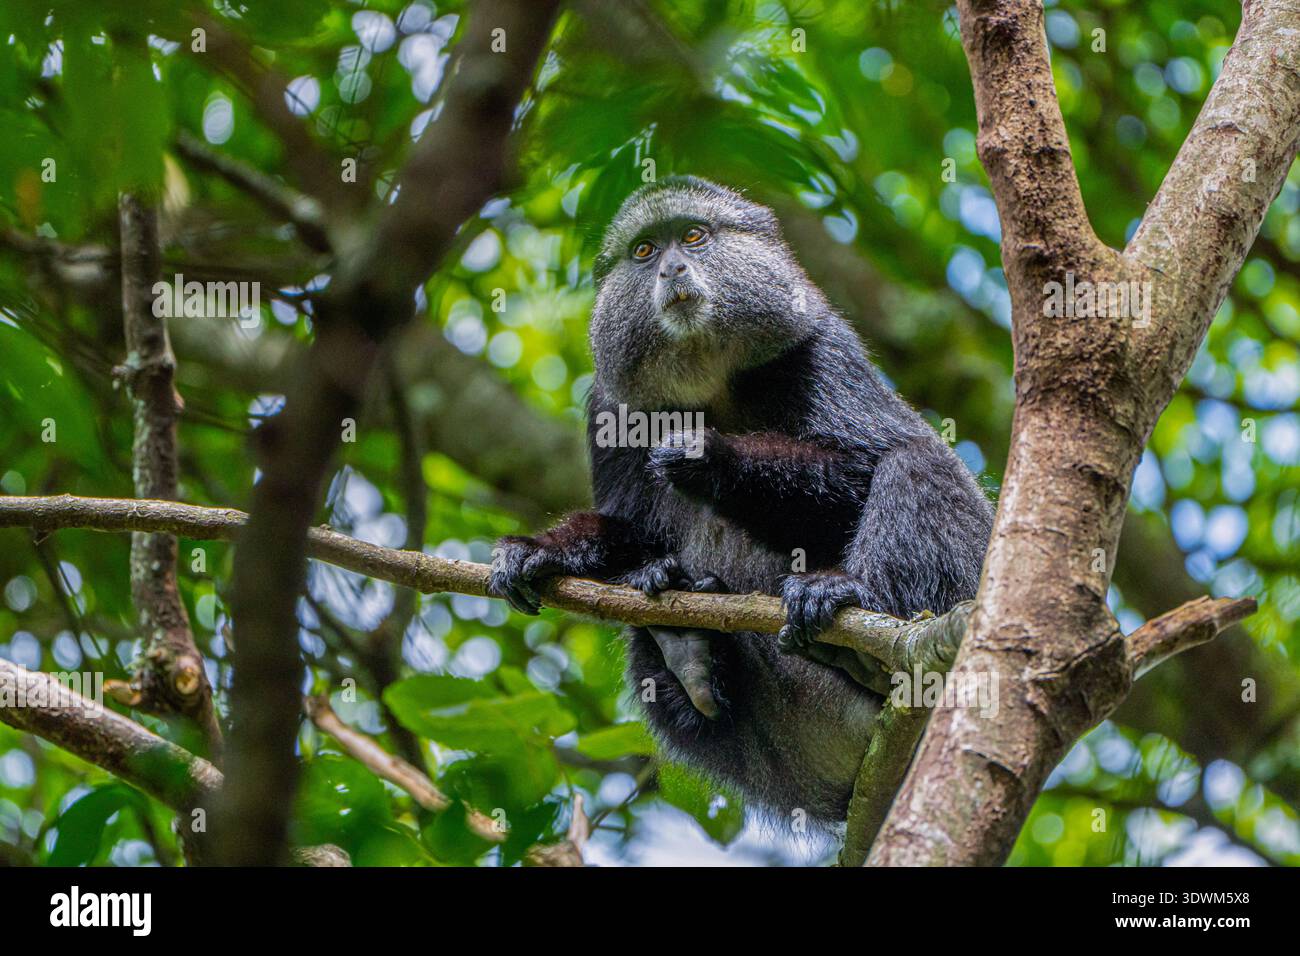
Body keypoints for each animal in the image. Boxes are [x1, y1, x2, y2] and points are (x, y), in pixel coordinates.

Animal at [488, 176, 994, 825]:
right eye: (644, 251)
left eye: (693, 237)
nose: (672, 267)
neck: (709, 381)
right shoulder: (609, 403)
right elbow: (630, 526)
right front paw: (541, 549)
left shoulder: (820, 348)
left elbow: (867, 463)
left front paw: (710, 455)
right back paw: (689, 652)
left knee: (917, 461)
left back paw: (853, 611)